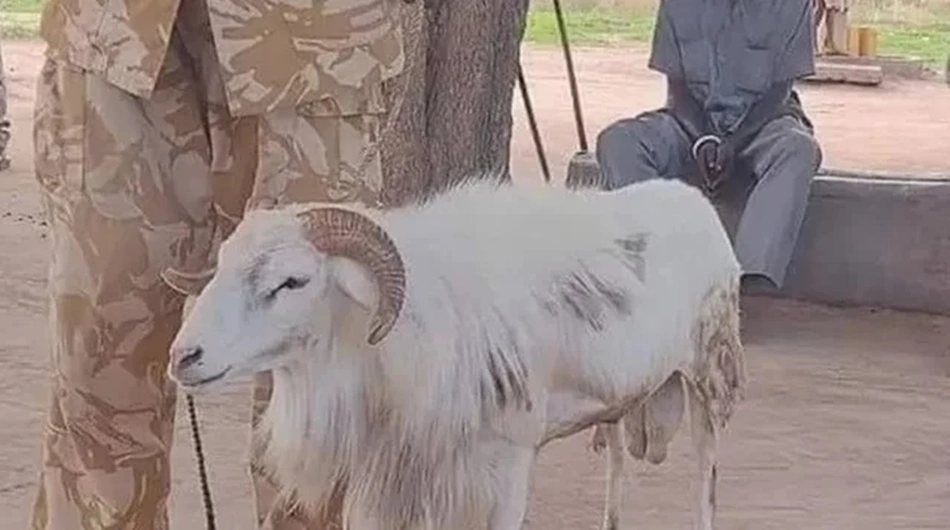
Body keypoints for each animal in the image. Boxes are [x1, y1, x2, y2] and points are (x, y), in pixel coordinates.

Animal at [163, 177, 746, 530]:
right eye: (221, 265)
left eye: (293, 281)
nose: (183, 358)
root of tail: (695, 199)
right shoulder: (397, 473)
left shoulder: (509, 463)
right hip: (621, 407)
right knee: (619, 464)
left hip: (711, 381)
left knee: (707, 477)